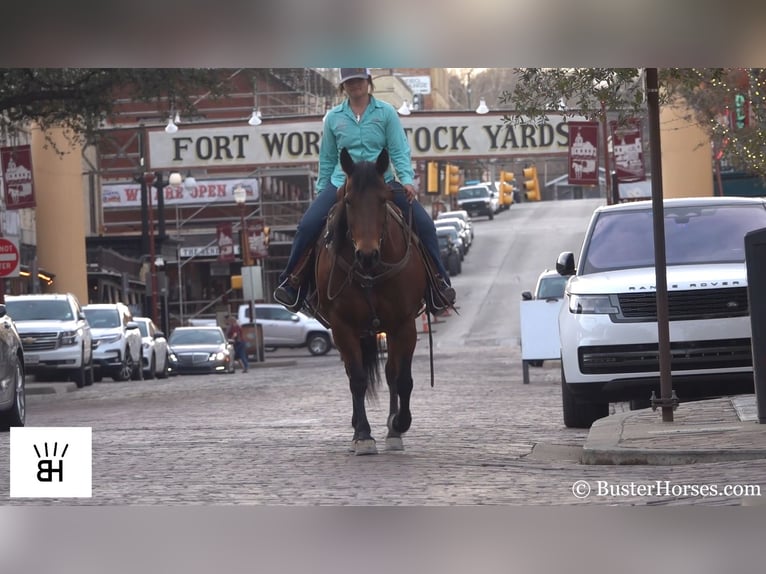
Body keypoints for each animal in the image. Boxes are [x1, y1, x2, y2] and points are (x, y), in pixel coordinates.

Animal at [314, 148, 432, 460]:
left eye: (383, 199)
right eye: (349, 201)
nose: (367, 255)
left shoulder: (404, 324)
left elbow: (402, 378)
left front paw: (398, 424)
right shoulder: (342, 326)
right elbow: (357, 379)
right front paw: (364, 435)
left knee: (391, 373)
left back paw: (393, 429)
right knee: (354, 375)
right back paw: (358, 428)